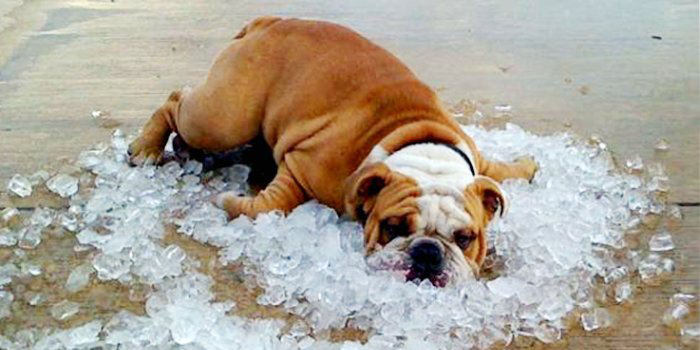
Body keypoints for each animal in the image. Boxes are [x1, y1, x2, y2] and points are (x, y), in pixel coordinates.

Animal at [129, 16, 540, 286]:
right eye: (393, 227)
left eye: (465, 238)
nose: (427, 252)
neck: (423, 151)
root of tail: (268, 22)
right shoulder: (302, 166)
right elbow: (273, 205)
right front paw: (229, 203)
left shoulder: (475, 157)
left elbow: (497, 169)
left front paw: (527, 167)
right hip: (225, 115)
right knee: (176, 101)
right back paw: (148, 148)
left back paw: (190, 151)